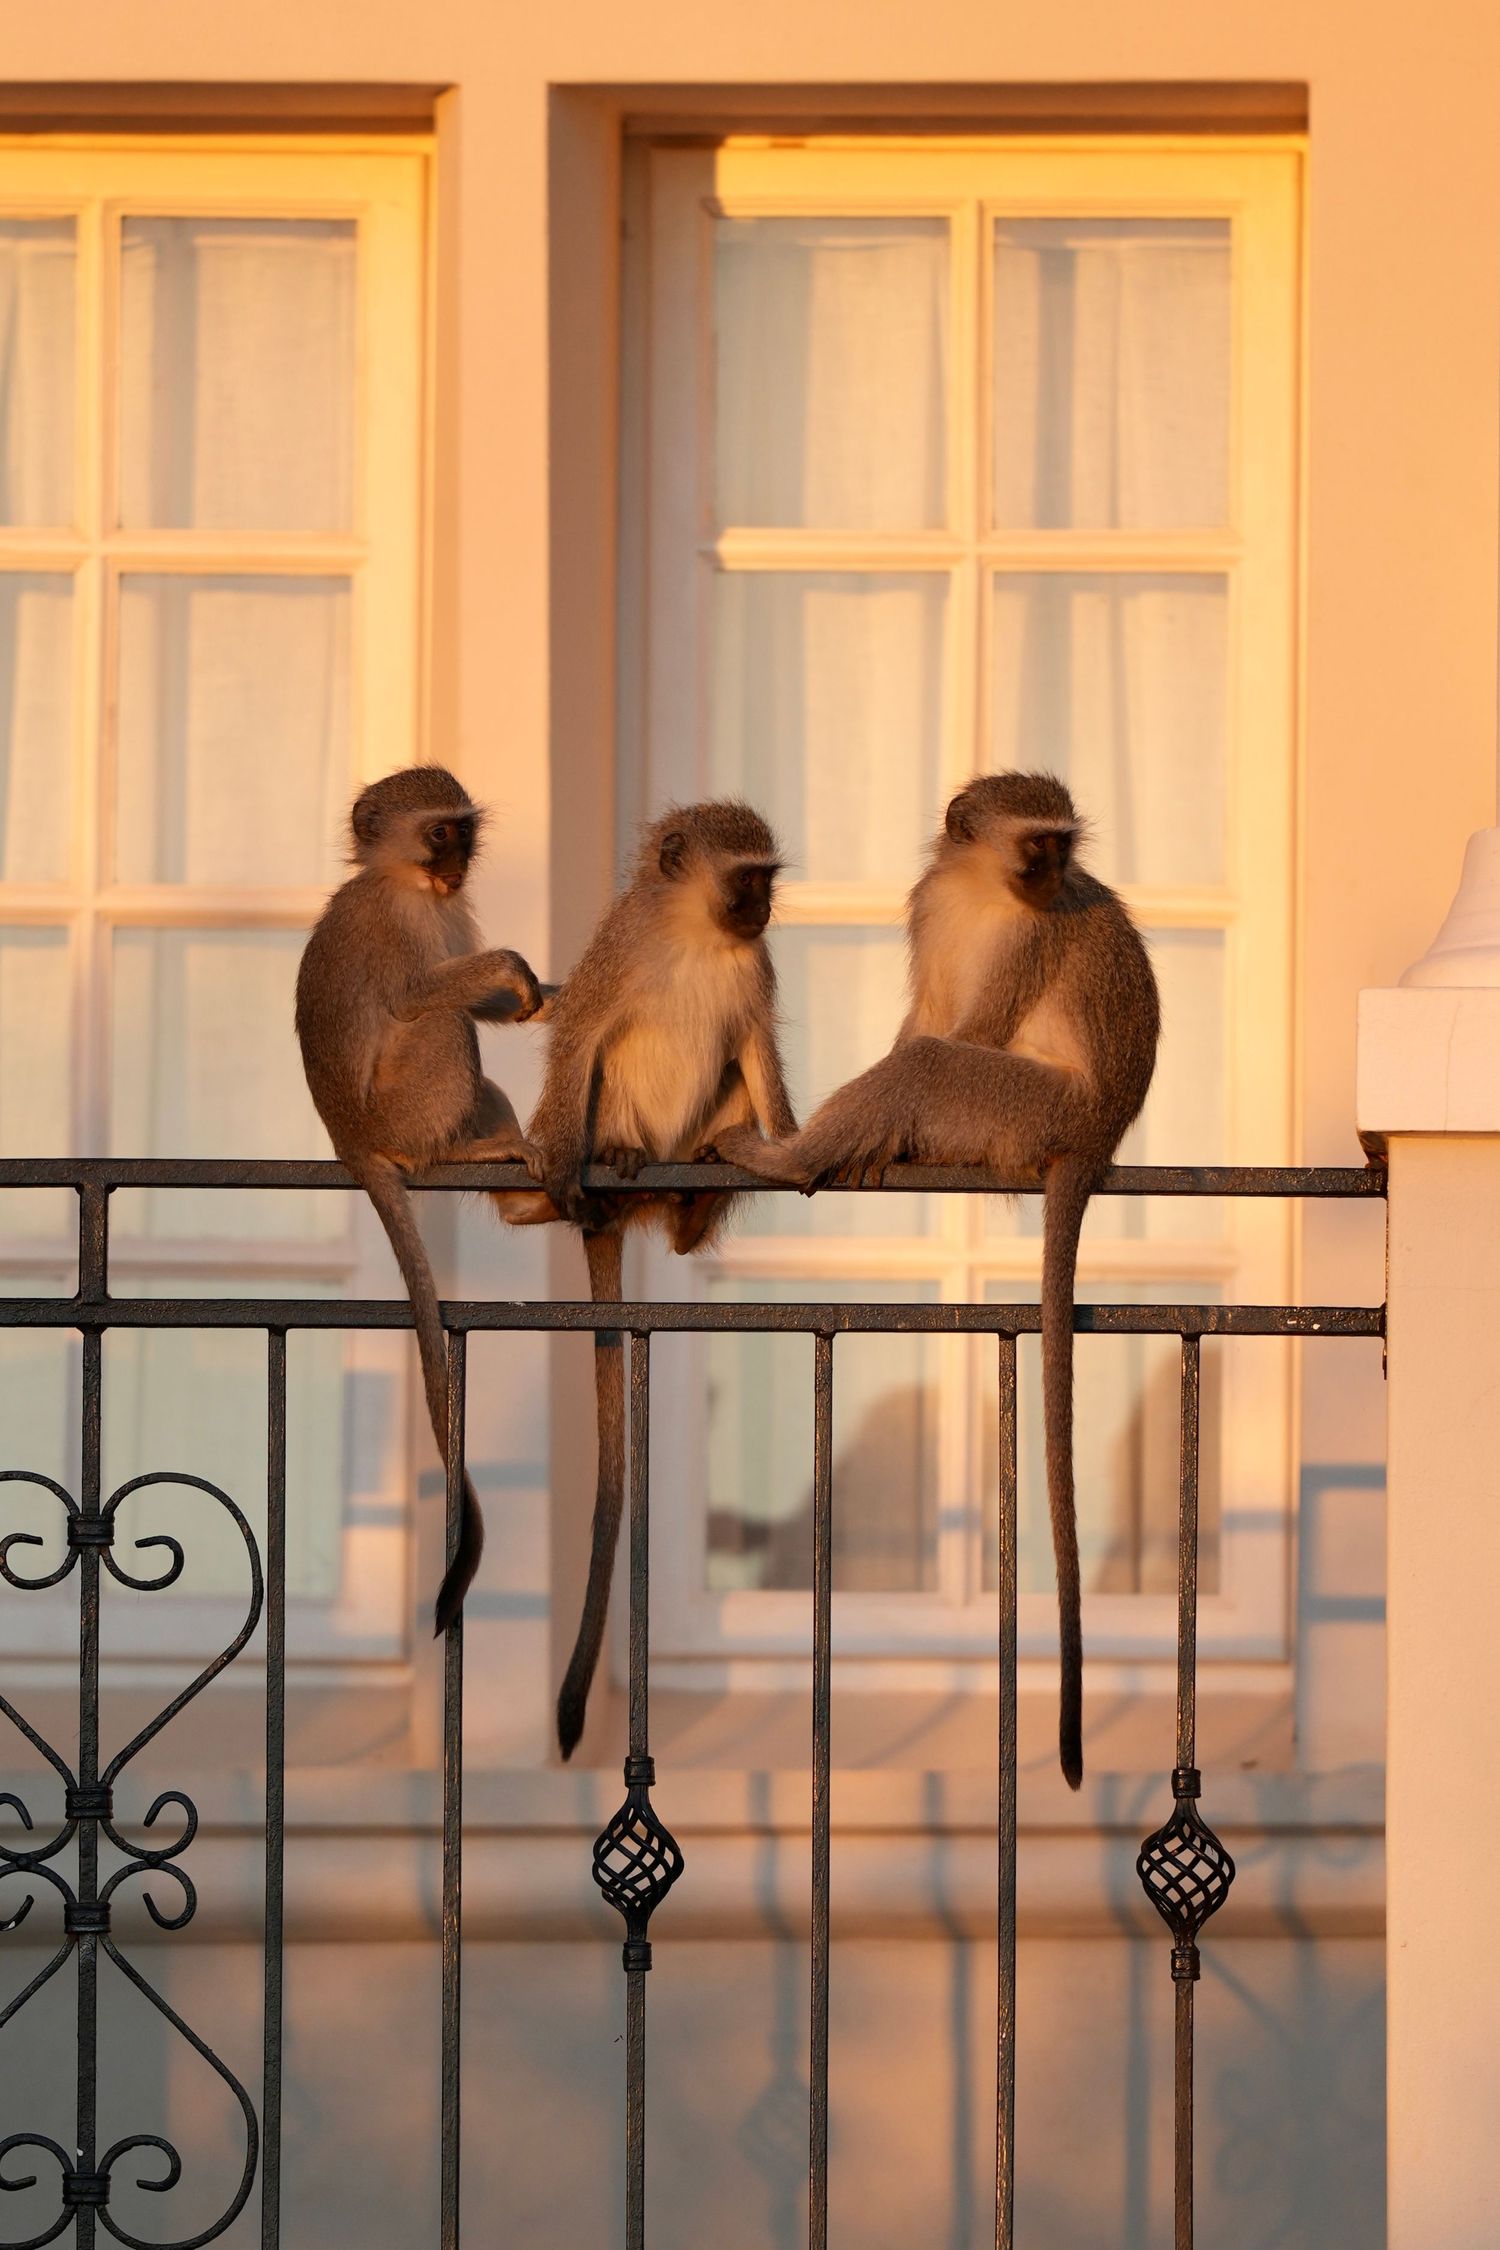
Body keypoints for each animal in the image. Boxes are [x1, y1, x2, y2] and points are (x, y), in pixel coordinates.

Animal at [295, 765, 545, 1637]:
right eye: (440, 833)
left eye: (466, 831)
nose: (460, 864)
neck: (411, 884)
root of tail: (352, 1140)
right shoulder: (401, 923)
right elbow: (415, 999)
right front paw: (511, 965)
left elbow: (490, 1005)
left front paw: (539, 991)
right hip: (404, 1103)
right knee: (438, 1025)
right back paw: (463, 1153)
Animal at [497, 800, 797, 1760]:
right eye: (747, 879)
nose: (764, 911)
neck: (695, 936)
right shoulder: (619, 953)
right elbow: (581, 1037)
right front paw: (554, 1165)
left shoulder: (754, 974)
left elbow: (755, 1052)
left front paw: (788, 1142)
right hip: (615, 1133)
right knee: (610, 1073)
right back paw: (582, 1177)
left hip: (694, 1148)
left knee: (727, 1098)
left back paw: (699, 1195)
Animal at [716, 773, 1160, 1789]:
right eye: (1038, 843)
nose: (1056, 872)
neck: (983, 889)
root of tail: (1096, 1133)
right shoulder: (932, 906)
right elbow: (926, 1012)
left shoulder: (1032, 941)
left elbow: (960, 1033)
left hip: (1021, 1111)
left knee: (937, 1066)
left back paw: (791, 1156)